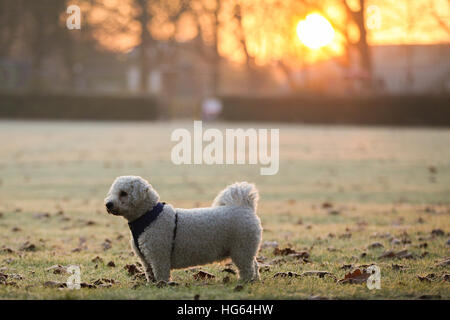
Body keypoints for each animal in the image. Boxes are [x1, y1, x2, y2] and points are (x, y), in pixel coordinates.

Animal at [103, 176, 262, 284]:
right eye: (112, 192)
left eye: (123, 193)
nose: (108, 204)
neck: (149, 216)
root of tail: (246, 207)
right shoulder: (146, 259)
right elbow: (150, 274)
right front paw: (152, 285)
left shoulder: (159, 256)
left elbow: (161, 274)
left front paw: (162, 286)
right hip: (247, 249)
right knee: (254, 265)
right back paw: (255, 280)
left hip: (241, 249)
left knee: (247, 268)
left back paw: (244, 282)